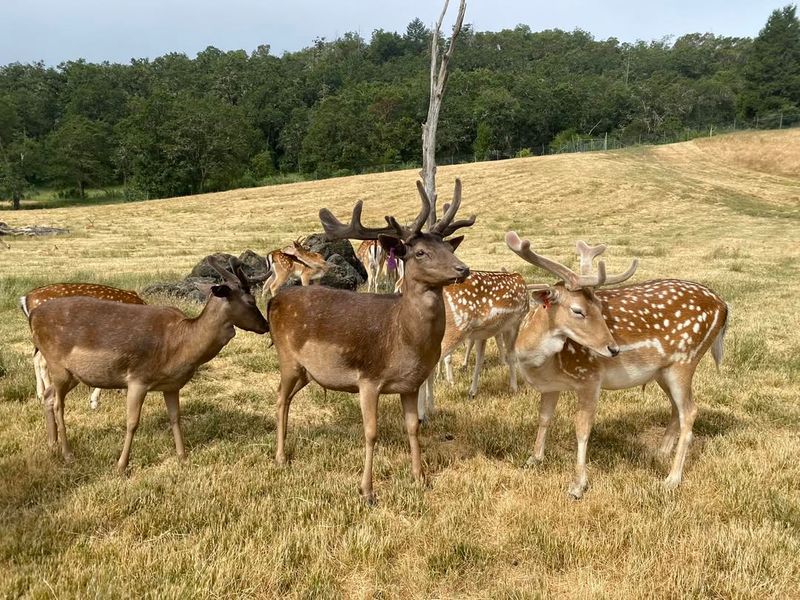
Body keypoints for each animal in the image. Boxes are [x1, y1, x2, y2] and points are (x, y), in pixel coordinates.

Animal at [28, 258, 268, 474]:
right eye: (251, 301)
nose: (265, 325)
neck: (180, 346)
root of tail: (32, 316)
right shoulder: (138, 378)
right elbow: (132, 422)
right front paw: (121, 466)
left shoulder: (171, 385)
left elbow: (175, 418)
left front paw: (183, 458)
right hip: (56, 363)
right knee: (58, 404)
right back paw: (68, 454)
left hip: (73, 374)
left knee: (49, 396)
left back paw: (52, 445)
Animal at [268, 179, 476, 502]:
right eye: (420, 253)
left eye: (446, 246)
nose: (462, 268)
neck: (404, 340)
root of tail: (274, 302)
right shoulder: (368, 377)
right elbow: (371, 433)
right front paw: (367, 491)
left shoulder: (410, 384)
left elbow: (413, 427)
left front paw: (420, 478)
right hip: (286, 357)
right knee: (279, 399)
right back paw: (280, 457)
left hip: (307, 371)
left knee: (286, 398)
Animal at [416, 270, 528, 420]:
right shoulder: (514, 323)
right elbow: (511, 356)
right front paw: (514, 388)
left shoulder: (482, 333)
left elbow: (479, 360)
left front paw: (472, 392)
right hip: (455, 328)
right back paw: (422, 416)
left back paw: (432, 410)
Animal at [506, 232, 732, 500]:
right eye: (578, 310)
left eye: (600, 307)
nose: (613, 349)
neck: (539, 362)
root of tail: (723, 306)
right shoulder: (552, 385)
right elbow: (544, 417)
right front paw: (534, 459)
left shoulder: (589, 377)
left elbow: (582, 427)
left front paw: (577, 485)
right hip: (663, 371)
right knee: (677, 407)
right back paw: (660, 452)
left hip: (685, 360)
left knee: (690, 410)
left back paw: (672, 479)